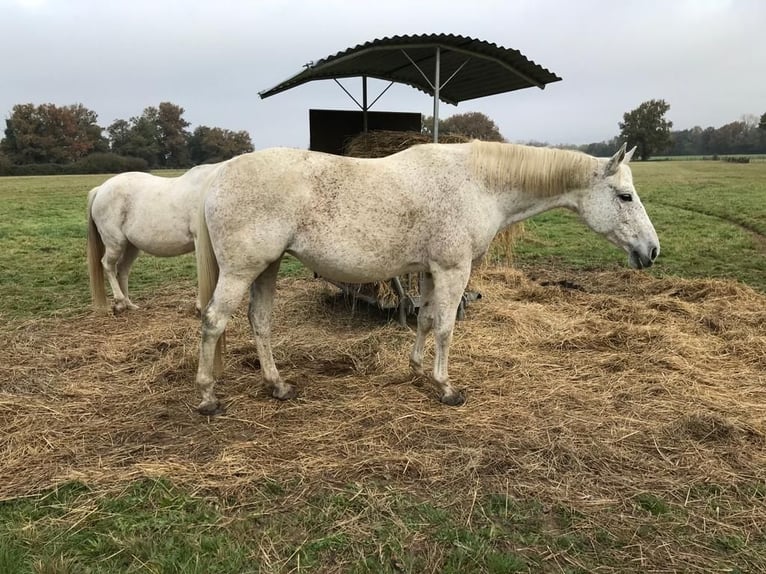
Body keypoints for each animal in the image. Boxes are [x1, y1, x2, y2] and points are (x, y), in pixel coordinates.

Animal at [86, 162, 222, 316]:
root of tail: (100, 190)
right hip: (115, 243)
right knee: (108, 265)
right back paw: (120, 302)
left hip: (131, 247)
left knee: (122, 269)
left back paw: (129, 304)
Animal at [192, 142, 660, 416]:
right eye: (625, 196)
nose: (652, 251)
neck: (478, 182)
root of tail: (217, 174)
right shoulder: (454, 270)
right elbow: (446, 328)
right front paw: (446, 387)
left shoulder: (430, 271)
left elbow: (424, 320)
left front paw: (417, 370)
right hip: (242, 270)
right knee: (213, 322)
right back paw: (208, 396)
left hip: (266, 268)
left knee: (260, 322)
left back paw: (277, 385)